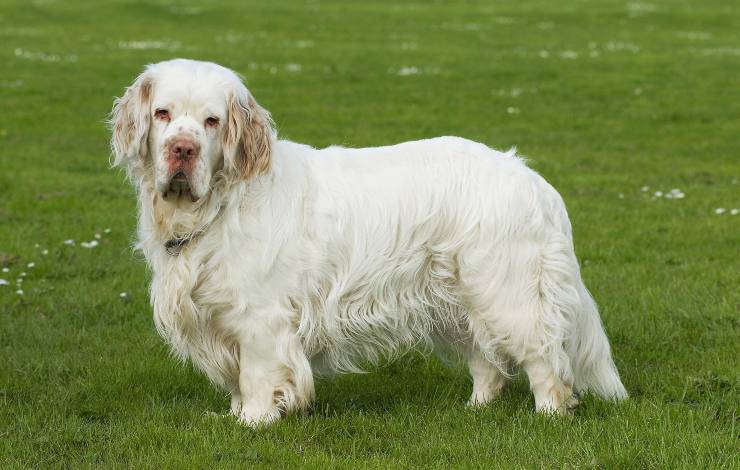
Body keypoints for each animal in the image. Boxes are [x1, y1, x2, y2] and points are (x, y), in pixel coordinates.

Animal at [110, 58, 628, 426]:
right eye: (163, 114)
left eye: (212, 121)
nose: (182, 150)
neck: (218, 205)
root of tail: (532, 178)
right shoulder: (218, 315)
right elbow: (238, 380)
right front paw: (234, 415)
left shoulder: (259, 317)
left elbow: (257, 375)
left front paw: (253, 422)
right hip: (457, 299)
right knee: (487, 364)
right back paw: (474, 410)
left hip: (508, 293)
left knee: (544, 358)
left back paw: (550, 414)